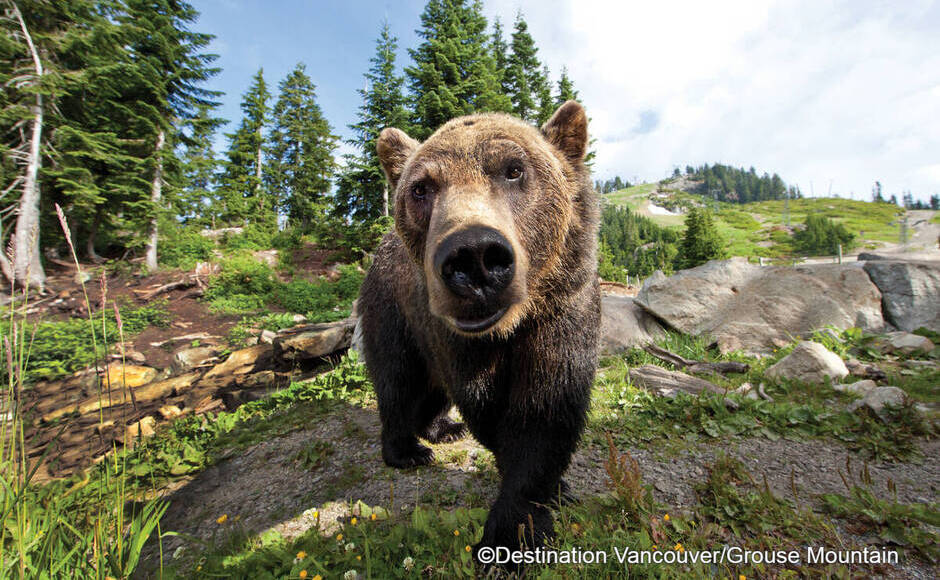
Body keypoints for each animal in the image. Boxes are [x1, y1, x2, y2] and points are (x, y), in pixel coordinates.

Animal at [356, 101, 600, 568]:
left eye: (513, 169)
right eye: (421, 188)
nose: (475, 257)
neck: (511, 327)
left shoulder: (563, 314)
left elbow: (545, 408)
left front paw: (536, 507)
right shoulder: (452, 336)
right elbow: (487, 406)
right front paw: (512, 535)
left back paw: (442, 428)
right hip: (392, 312)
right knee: (398, 379)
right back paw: (407, 449)